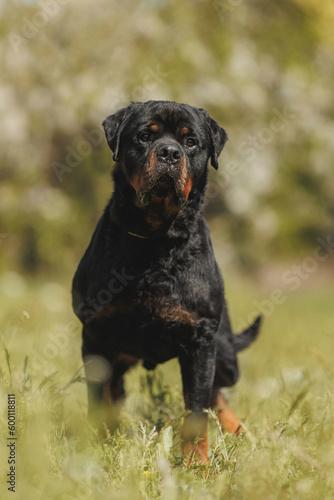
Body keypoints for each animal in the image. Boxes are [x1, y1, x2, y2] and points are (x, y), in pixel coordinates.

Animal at [72, 100, 260, 464]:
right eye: (145, 136)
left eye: (190, 142)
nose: (170, 152)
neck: (155, 239)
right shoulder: (96, 336)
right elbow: (98, 399)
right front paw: (98, 448)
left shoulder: (201, 340)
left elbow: (196, 409)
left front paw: (196, 465)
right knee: (117, 389)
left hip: (225, 352)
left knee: (217, 391)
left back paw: (240, 433)